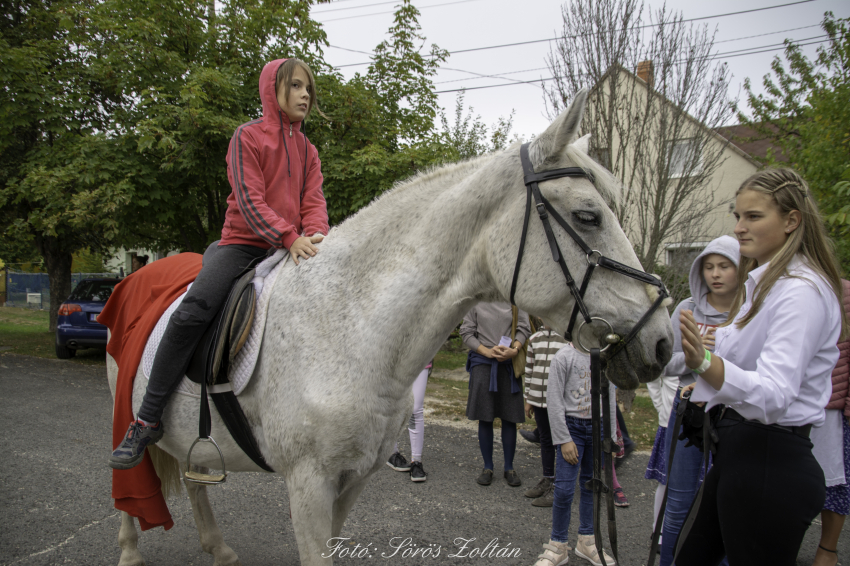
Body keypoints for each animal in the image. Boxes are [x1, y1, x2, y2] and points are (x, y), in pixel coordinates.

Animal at [106, 91, 672, 564]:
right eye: (588, 216)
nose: (663, 341)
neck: (350, 327)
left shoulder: (352, 480)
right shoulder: (308, 484)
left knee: (193, 477)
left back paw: (217, 548)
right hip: (124, 409)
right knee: (129, 484)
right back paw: (130, 548)